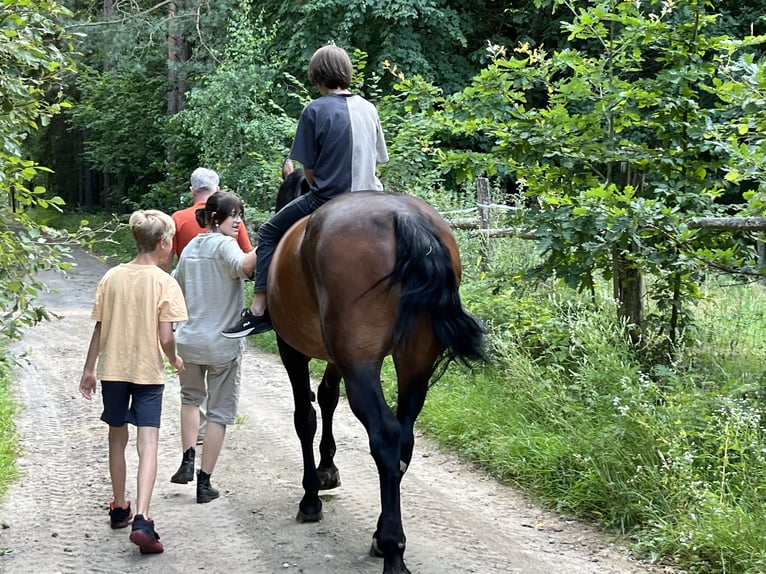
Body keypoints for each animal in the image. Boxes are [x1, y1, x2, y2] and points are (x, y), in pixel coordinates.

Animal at [270, 191, 486, 574]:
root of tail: (403, 216)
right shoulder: (336, 358)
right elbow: (327, 397)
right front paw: (328, 469)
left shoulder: (292, 349)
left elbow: (305, 418)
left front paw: (311, 496)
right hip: (414, 363)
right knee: (404, 437)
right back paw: (381, 535)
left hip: (361, 365)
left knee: (384, 434)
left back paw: (392, 548)